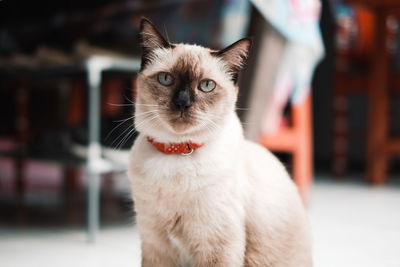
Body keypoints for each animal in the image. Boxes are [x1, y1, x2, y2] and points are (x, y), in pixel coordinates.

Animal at [128, 18, 312, 267]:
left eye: (206, 85)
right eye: (166, 79)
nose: (183, 103)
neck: (178, 153)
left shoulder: (216, 247)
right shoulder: (155, 245)